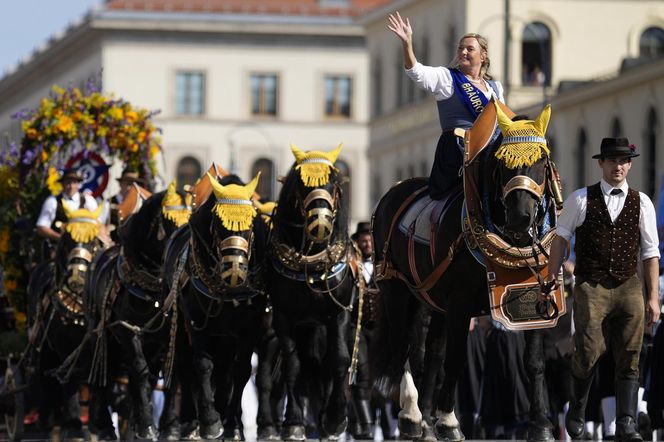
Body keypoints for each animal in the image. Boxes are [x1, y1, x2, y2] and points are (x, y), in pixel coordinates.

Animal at [26, 205, 104, 440]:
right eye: (68, 240)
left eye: (93, 242)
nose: (76, 277)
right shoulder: (64, 347)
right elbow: (68, 380)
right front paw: (74, 425)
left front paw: (94, 424)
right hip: (42, 348)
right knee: (45, 380)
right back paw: (45, 422)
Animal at [85, 181, 192, 440]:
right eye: (168, 219)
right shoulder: (129, 332)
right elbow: (139, 374)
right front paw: (146, 427)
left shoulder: (171, 337)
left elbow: (170, 375)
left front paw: (167, 428)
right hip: (102, 335)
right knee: (104, 372)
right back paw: (102, 426)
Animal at [163, 172, 270, 438]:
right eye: (220, 225)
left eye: (250, 226)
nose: (235, 270)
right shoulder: (197, 324)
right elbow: (202, 366)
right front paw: (211, 422)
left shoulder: (247, 329)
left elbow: (241, 371)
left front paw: (232, 426)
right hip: (180, 328)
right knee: (186, 368)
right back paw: (192, 421)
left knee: (224, 373)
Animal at [266, 143, 356, 440]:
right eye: (302, 185)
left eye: (334, 185)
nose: (320, 223)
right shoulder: (284, 317)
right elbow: (293, 366)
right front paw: (294, 422)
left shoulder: (338, 314)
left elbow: (339, 360)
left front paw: (336, 418)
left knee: (324, 364)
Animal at [370, 103, 564, 442]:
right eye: (502, 164)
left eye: (542, 162)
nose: (521, 218)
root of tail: (394, 191)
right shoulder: (460, 306)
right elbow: (456, 359)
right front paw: (449, 421)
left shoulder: (533, 303)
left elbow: (534, 361)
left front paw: (540, 425)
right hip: (397, 290)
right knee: (404, 346)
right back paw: (412, 414)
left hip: (430, 299)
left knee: (430, 351)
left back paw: (425, 419)